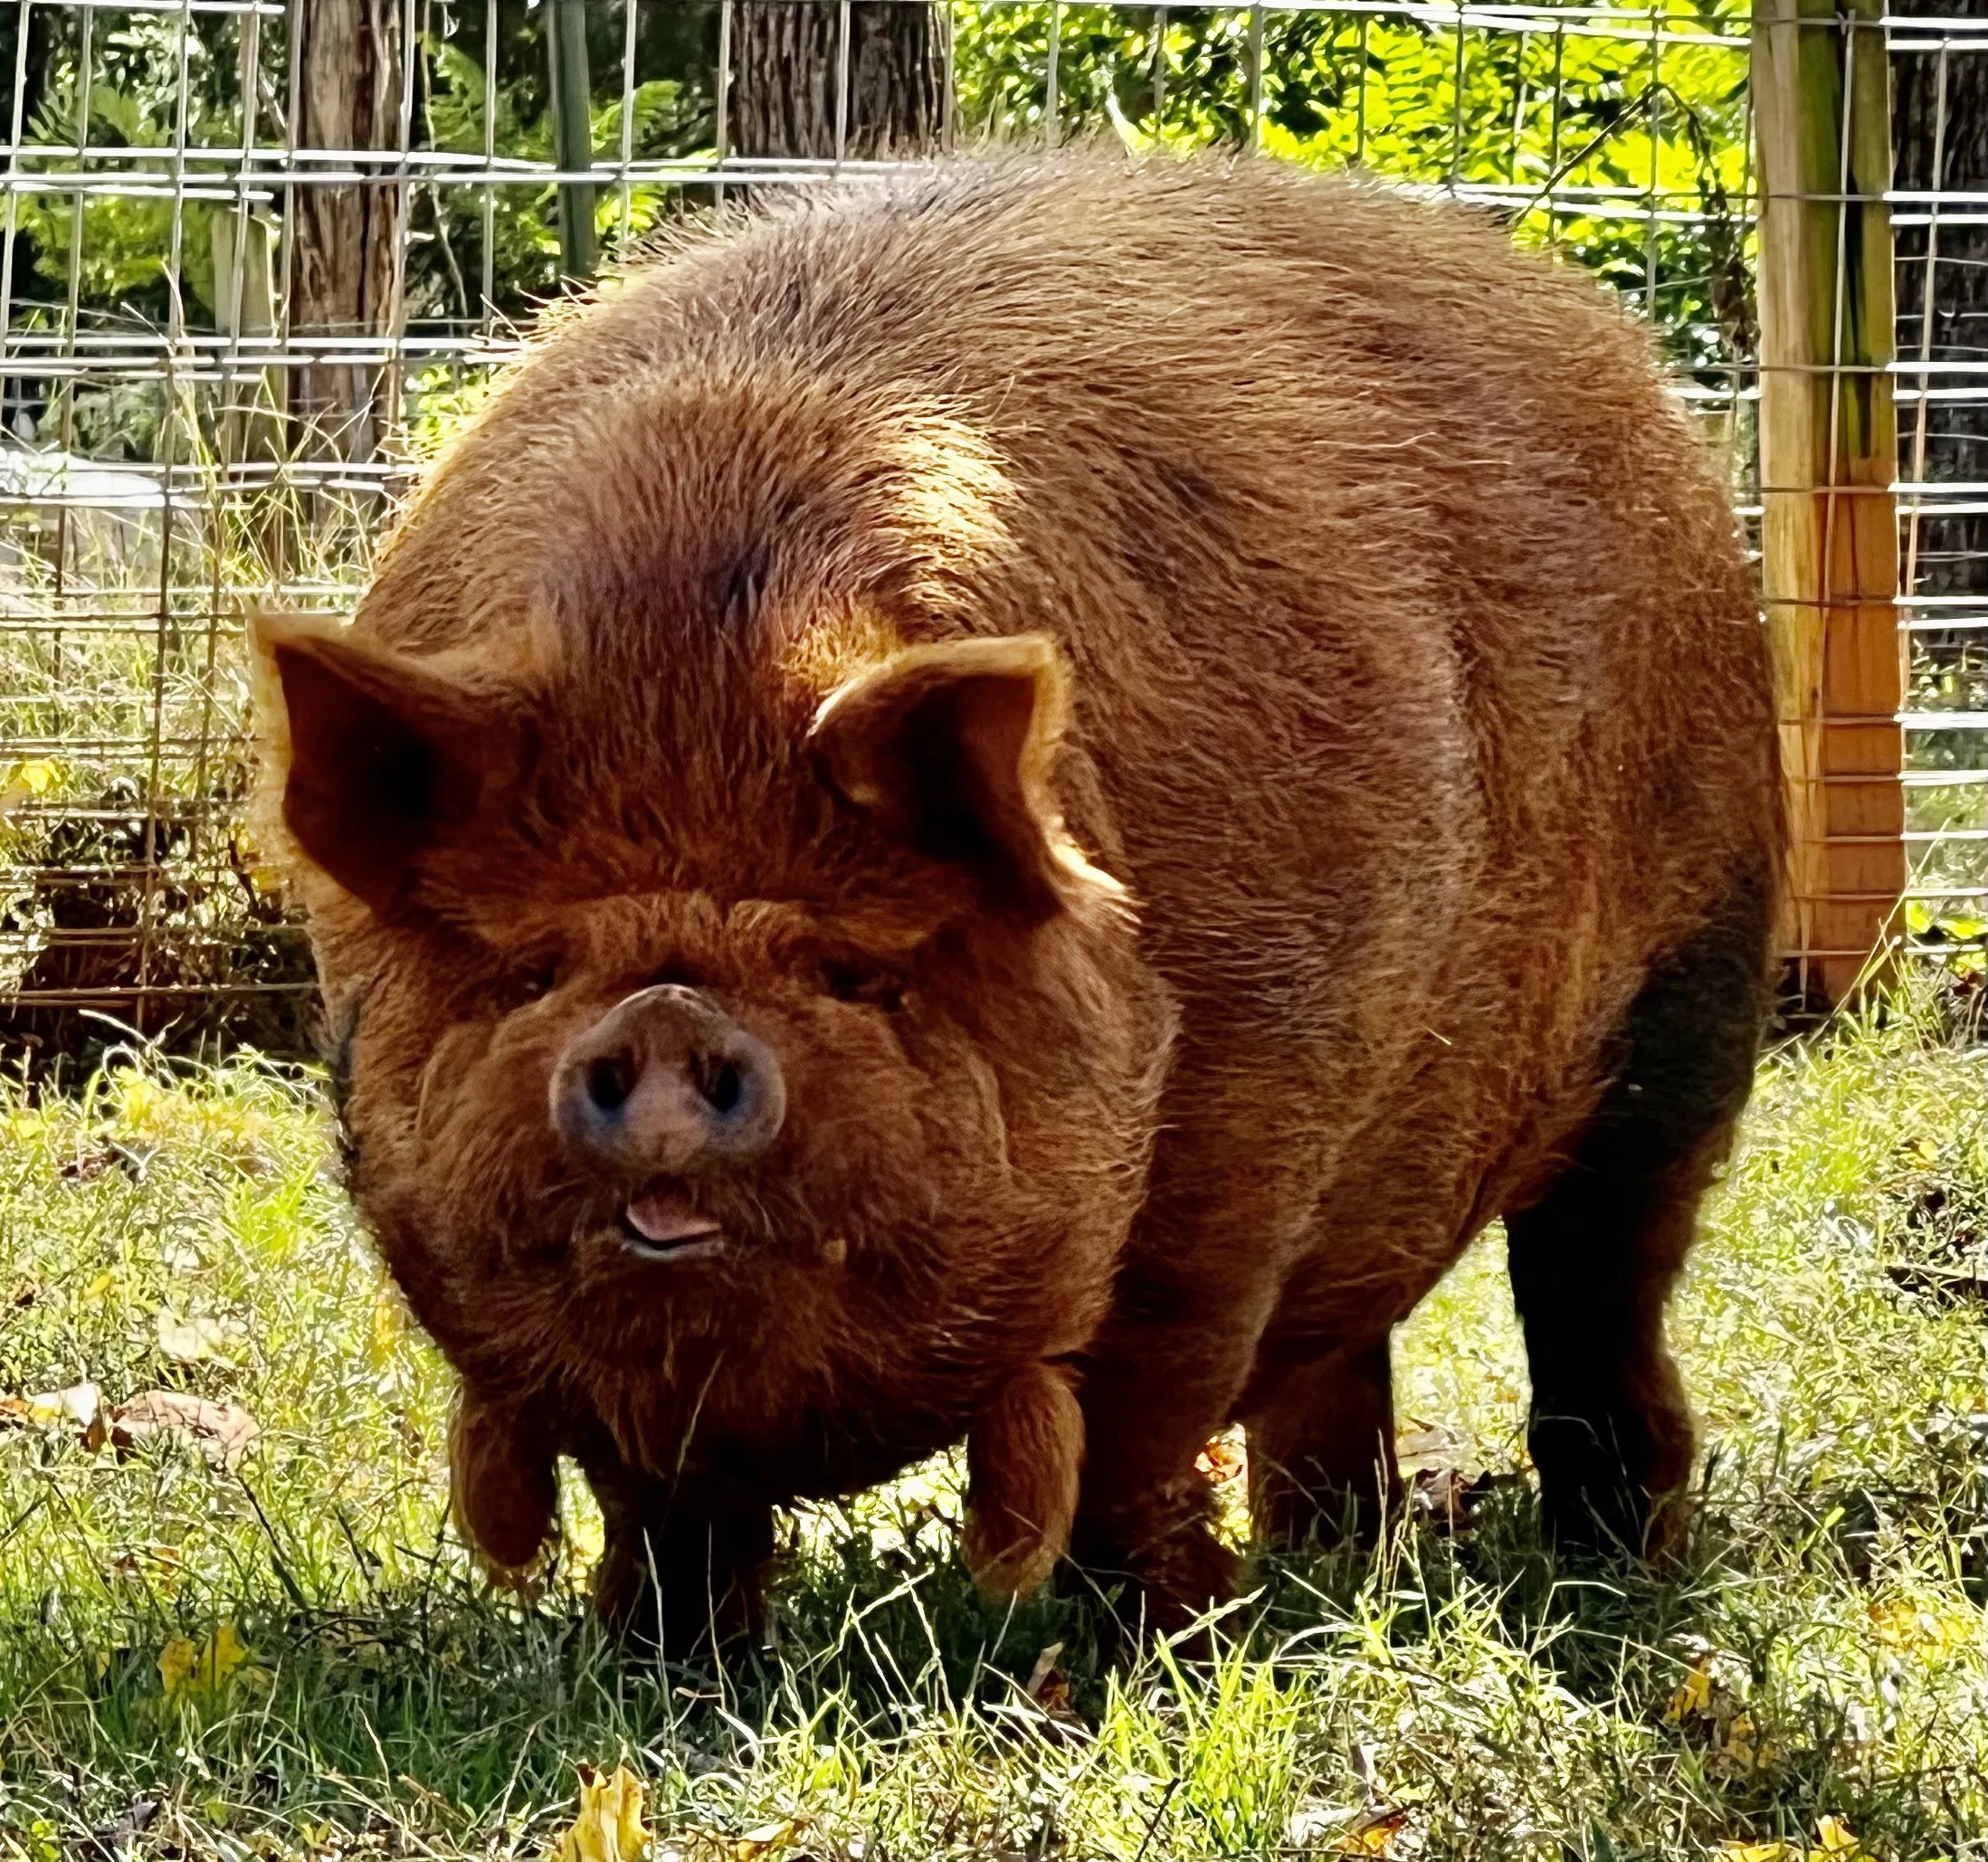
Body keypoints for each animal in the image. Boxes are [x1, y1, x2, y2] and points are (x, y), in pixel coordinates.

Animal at [255, 148, 1779, 1647]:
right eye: (527, 971)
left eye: (856, 969)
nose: (670, 1014)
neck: (693, 651)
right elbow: (666, 1508)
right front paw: (658, 1668)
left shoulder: (1246, 1141)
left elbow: (1131, 1431)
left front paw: (1145, 1654)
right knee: (1353, 1356)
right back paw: (1330, 1564)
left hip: (1698, 983)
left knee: (1597, 1289)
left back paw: (1610, 1582)